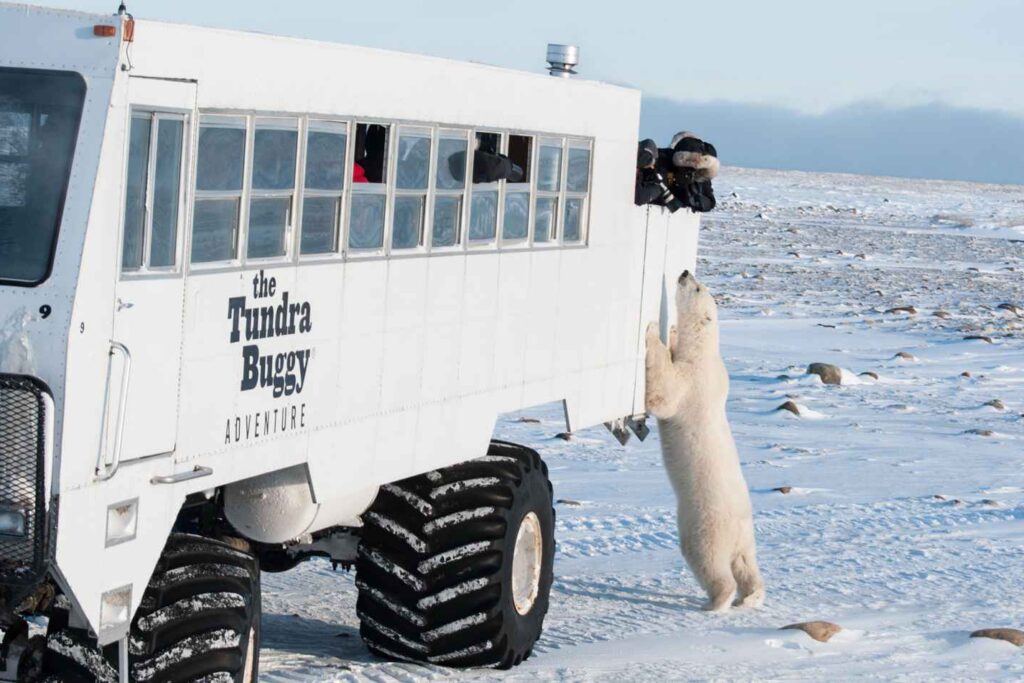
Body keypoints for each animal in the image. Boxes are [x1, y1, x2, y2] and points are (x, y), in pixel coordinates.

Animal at [643, 270, 765, 610]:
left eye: (697, 288)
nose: (685, 272)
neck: (705, 351)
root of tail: (737, 529)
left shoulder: (693, 379)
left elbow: (665, 394)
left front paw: (652, 332)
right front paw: (671, 333)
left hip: (704, 525)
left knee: (709, 562)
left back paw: (716, 602)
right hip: (746, 536)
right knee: (746, 563)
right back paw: (751, 597)